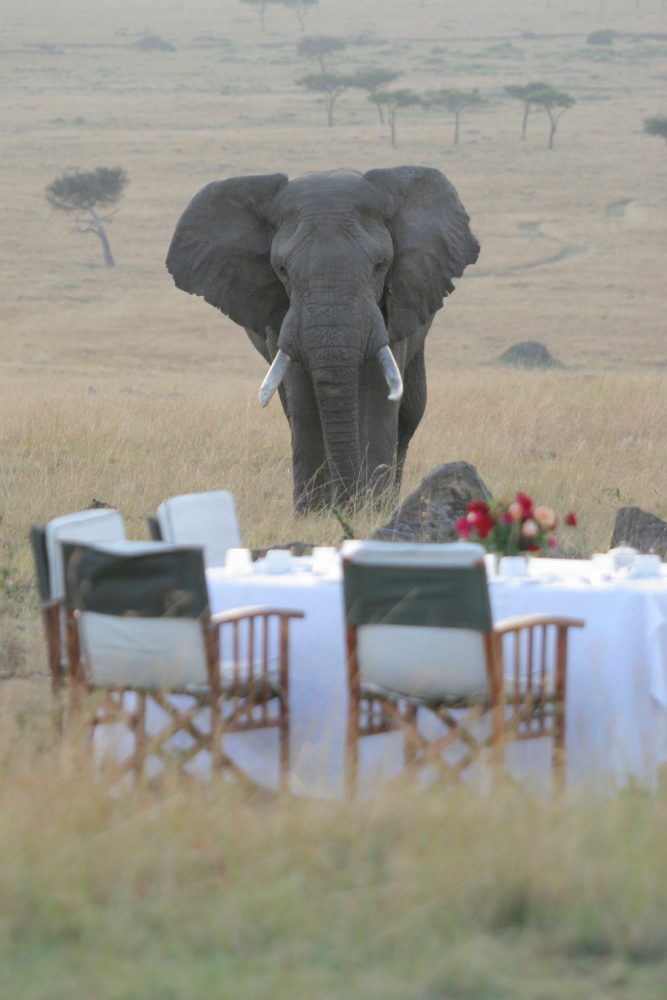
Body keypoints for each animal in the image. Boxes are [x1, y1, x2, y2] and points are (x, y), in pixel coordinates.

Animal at [166, 166, 479, 512]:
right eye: (282, 270)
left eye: (380, 266)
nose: (347, 503)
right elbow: (303, 396)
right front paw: (314, 514)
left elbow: (378, 393)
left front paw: (368, 511)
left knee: (409, 413)